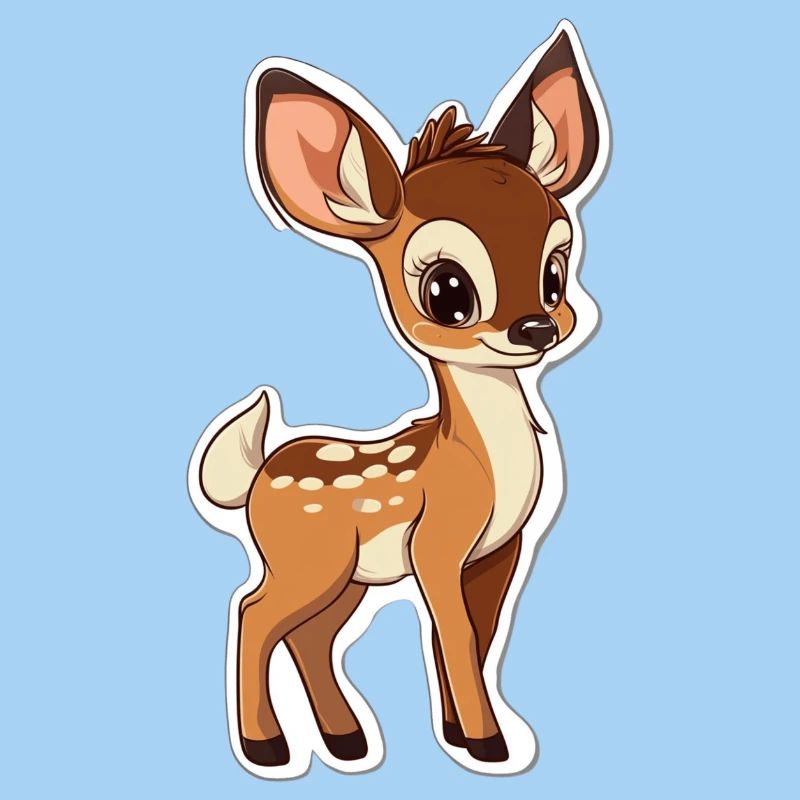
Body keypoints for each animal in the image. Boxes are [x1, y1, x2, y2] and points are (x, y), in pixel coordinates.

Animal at [191, 22, 607, 776]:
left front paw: (460, 735)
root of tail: (257, 474)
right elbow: (457, 636)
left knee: (310, 636)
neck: (476, 461)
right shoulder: (438, 543)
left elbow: (470, 637)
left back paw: (346, 740)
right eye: (447, 290)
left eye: (555, 272)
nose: (536, 328)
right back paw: (268, 748)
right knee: (256, 613)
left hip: (348, 575)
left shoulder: (497, 553)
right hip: (308, 559)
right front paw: (490, 743)